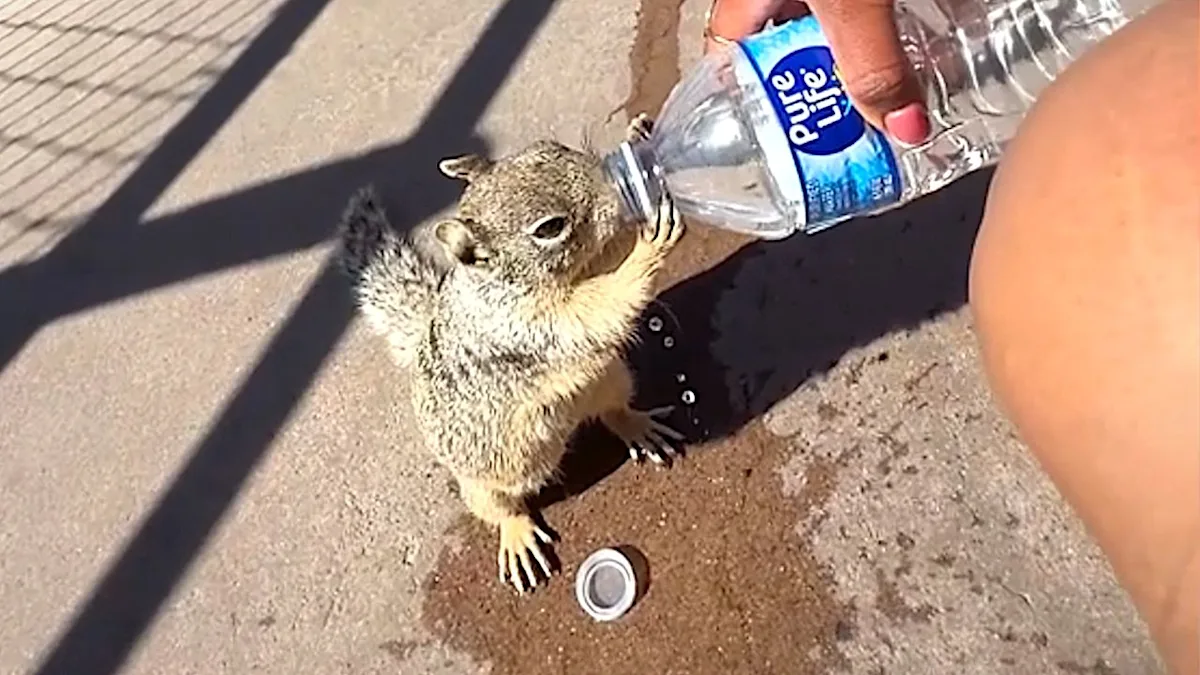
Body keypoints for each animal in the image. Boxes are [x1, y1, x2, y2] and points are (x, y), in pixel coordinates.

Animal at [337, 115, 684, 593]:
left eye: (552, 147)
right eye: (549, 228)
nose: (613, 186)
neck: (504, 284)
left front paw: (638, 134)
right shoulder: (526, 328)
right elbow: (597, 309)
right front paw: (652, 243)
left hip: (611, 378)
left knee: (612, 411)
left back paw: (638, 427)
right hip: (487, 474)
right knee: (497, 507)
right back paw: (516, 535)